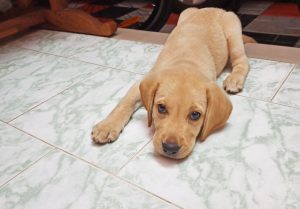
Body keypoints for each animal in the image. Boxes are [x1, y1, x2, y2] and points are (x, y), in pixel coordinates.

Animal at [91, 7, 253, 158]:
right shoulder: (140, 84)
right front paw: (106, 126)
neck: (185, 63)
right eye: (161, 108)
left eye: (195, 115)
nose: (170, 148)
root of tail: (214, 8)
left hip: (233, 32)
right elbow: (124, 103)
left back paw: (234, 79)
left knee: (243, 61)